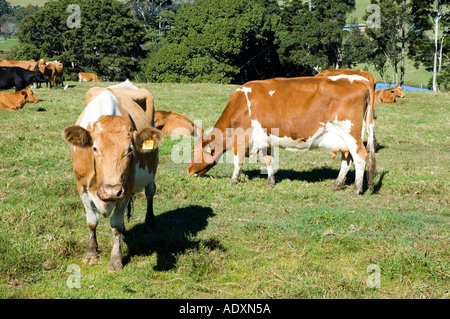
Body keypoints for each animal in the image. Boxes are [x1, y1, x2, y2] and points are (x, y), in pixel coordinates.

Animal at [62, 81, 162, 274]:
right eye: (94, 148)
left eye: (130, 149)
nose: (112, 191)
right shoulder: (82, 187)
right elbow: (92, 221)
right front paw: (90, 253)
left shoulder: (126, 189)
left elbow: (116, 225)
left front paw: (116, 260)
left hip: (148, 175)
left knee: (150, 192)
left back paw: (149, 223)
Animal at [186, 77, 376, 195]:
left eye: (195, 151)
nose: (188, 170)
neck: (240, 105)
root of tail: (359, 81)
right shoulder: (265, 139)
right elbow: (268, 160)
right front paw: (270, 181)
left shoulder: (242, 139)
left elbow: (237, 161)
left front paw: (233, 181)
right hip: (345, 138)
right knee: (348, 158)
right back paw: (337, 184)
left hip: (350, 133)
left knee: (360, 156)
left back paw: (356, 189)